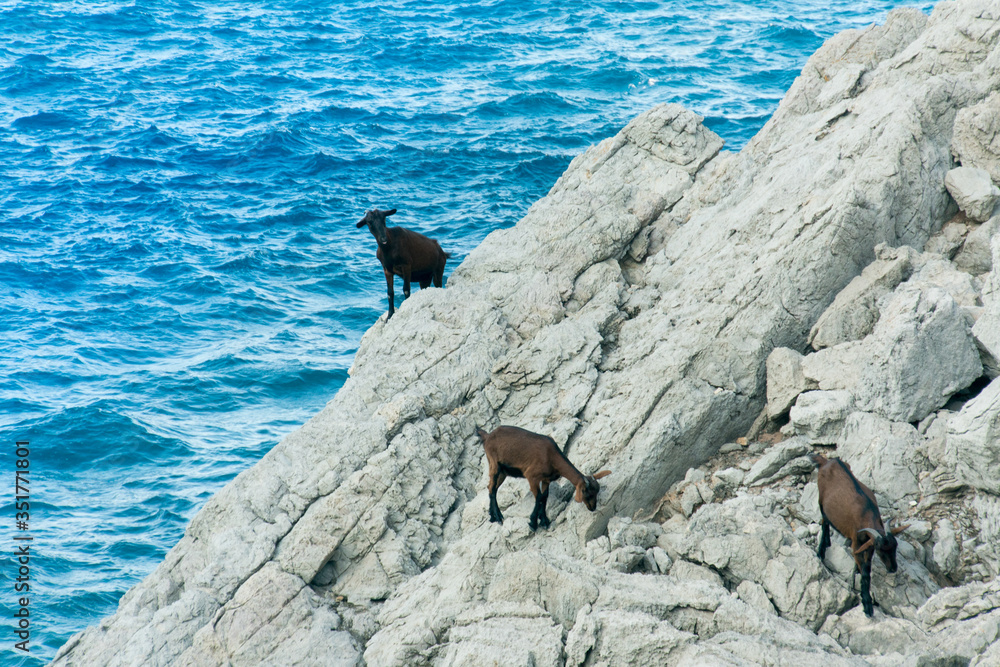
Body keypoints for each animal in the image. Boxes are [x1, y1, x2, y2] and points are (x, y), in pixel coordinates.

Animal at [476, 428, 608, 532]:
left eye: (597, 491)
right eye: (588, 493)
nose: (593, 507)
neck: (551, 456)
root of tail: (487, 436)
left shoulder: (546, 480)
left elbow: (544, 497)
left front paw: (544, 521)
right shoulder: (531, 476)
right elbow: (539, 497)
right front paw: (533, 523)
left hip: (503, 471)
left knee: (491, 488)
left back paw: (492, 516)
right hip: (494, 464)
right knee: (492, 488)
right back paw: (498, 517)